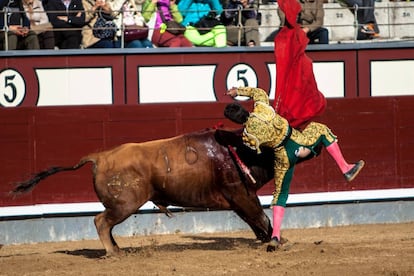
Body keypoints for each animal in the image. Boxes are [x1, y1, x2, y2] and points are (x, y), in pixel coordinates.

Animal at [12, 128, 274, 256]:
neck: (240, 151)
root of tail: (99, 156)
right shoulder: (242, 194)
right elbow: (261, 217)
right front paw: (273, 241)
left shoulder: (238, 200)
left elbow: (255, 221)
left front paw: (265, 240)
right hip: (125, 204)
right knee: (101, 221)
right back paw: (112, 252)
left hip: (121, 205)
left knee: (106, 223)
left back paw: (117, 249)